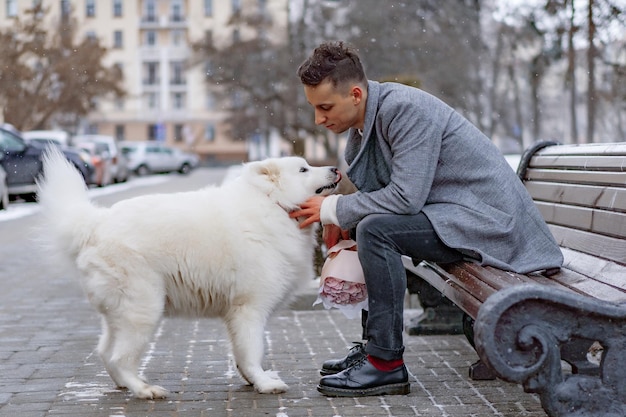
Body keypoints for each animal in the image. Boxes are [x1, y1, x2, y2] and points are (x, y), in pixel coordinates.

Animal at [37, 148, 342, 398]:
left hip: (119, 314)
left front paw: (251, 379)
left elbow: (241, 355)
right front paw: (264, 383)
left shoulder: (235, 314)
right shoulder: (249, 309)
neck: (273, 204)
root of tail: (94, 225)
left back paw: (125, 385)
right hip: (144, 310)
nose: (336, 168)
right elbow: (252, 351)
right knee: (119, 358)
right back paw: (145, 390)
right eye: (303, 170)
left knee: (105, 352)